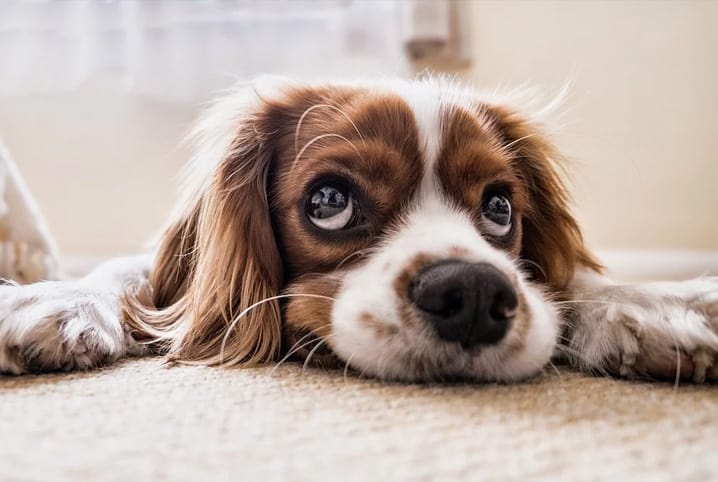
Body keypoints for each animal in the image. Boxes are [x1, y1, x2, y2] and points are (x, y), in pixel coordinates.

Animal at [1, 77, 718, 382]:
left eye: (499, 208)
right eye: (329, 201)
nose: (474, 294)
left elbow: (574, 283)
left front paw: (655, 306)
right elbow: (128, 274)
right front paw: (53, 301)